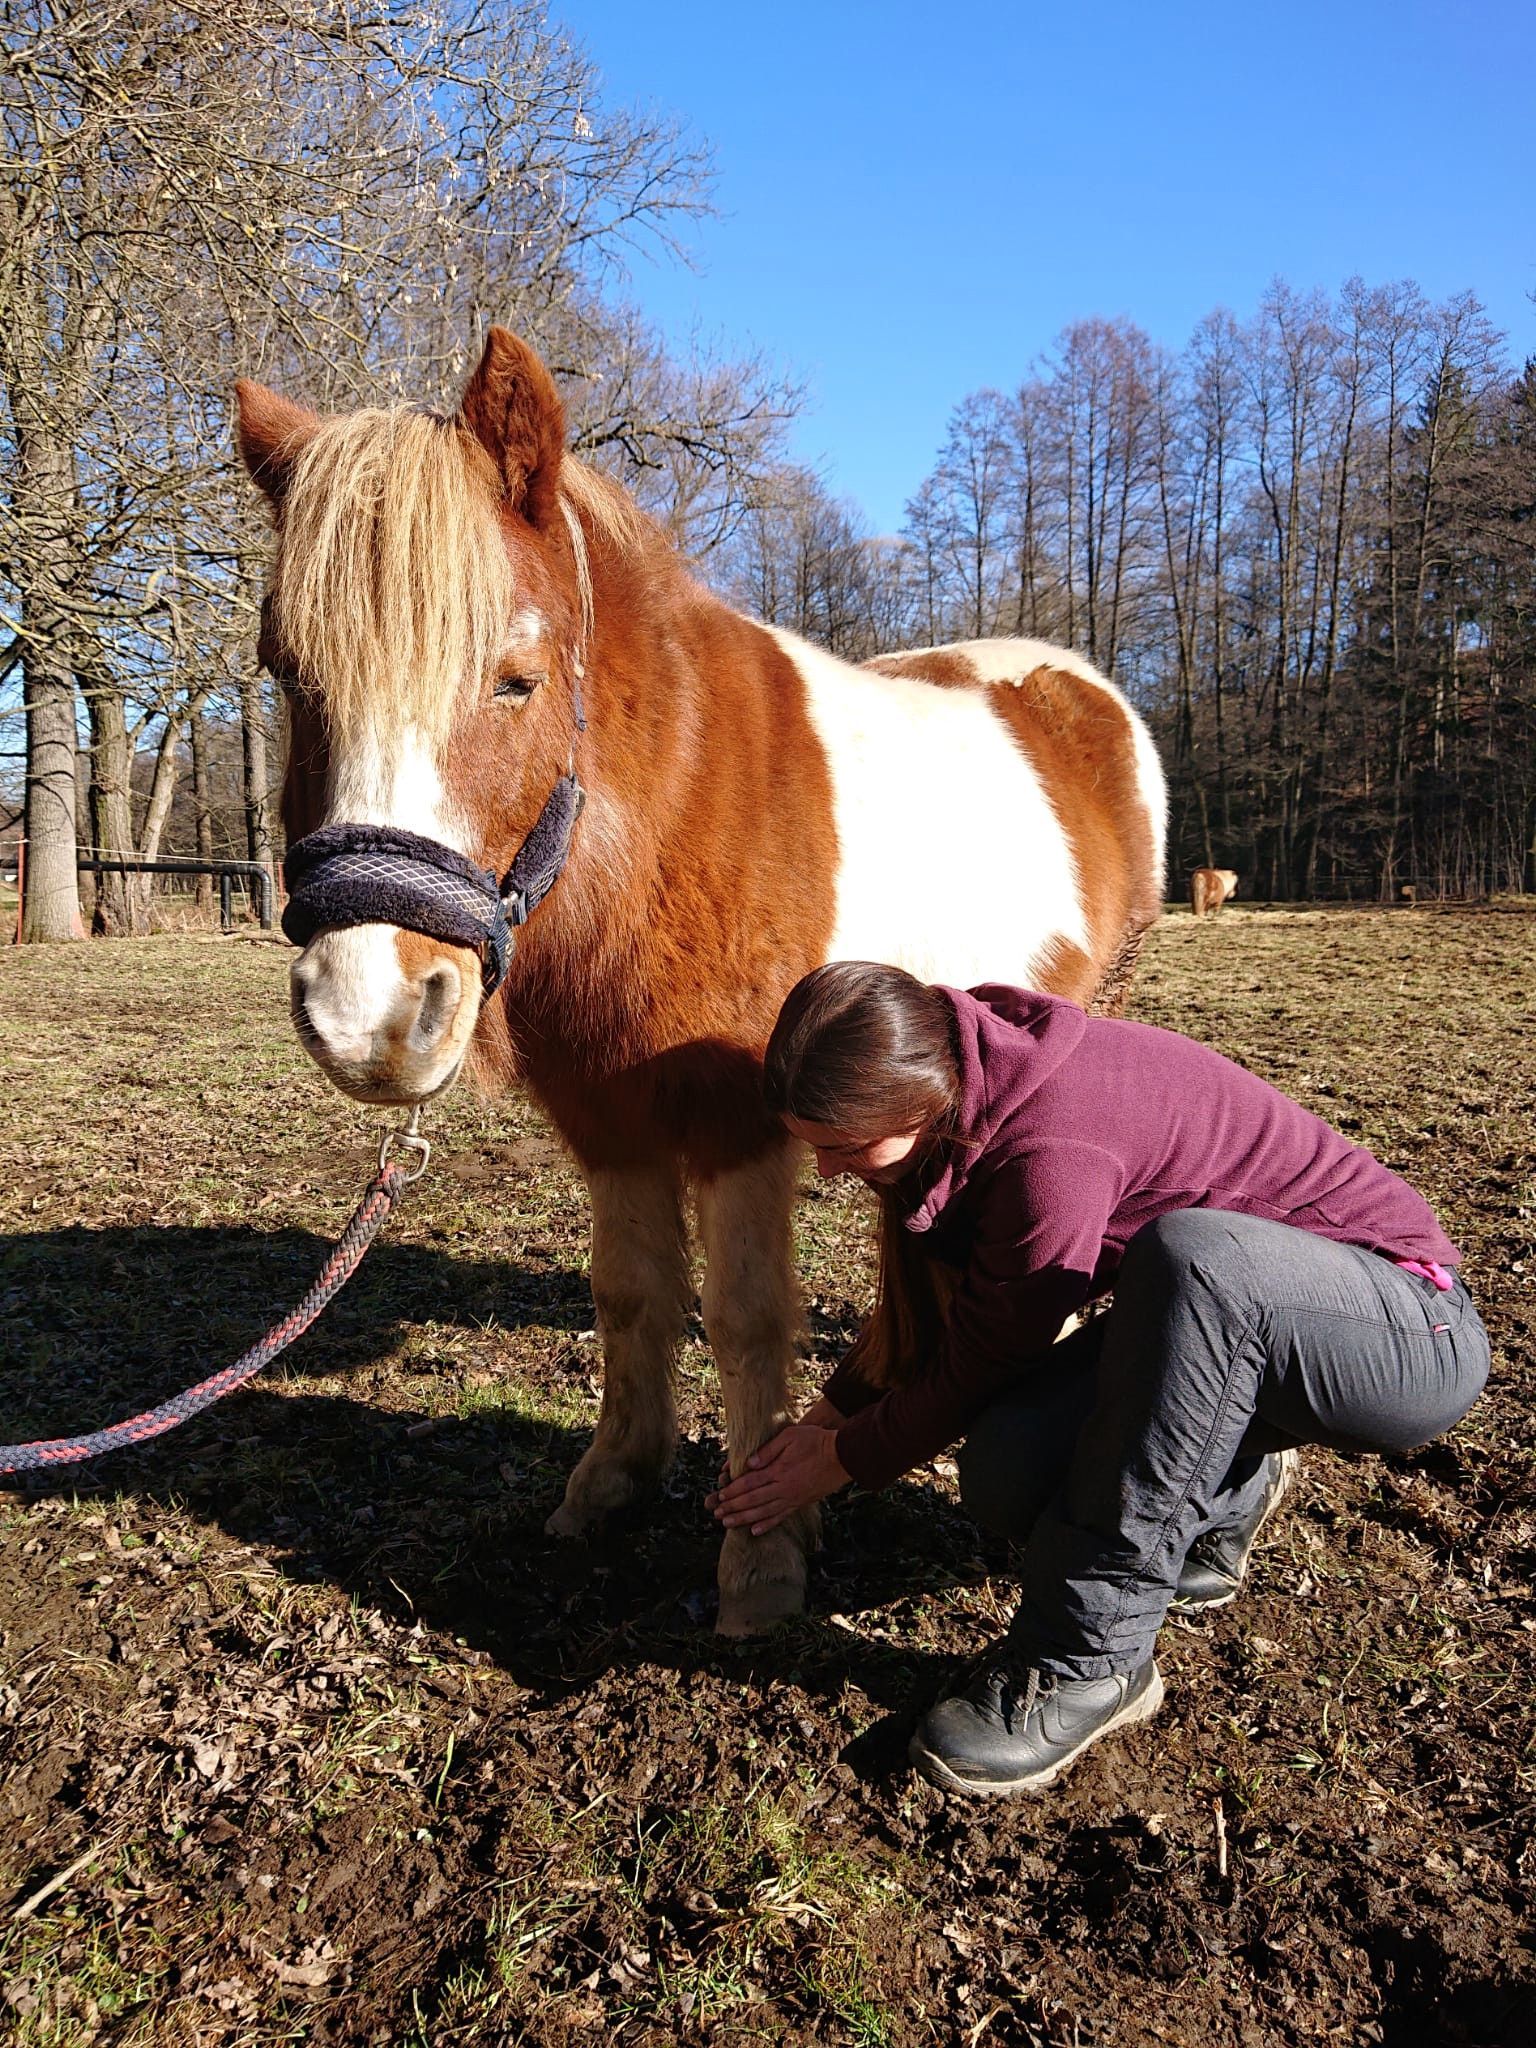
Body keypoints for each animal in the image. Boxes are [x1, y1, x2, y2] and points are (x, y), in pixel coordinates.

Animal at [234, 323, 1163, 1630]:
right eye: (287, 670)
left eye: (515, 677)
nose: (369, 1018)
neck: (663, 808)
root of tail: (1072, 681)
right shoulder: (611, 1118)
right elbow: (630, 1293)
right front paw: (613, 1482)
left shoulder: (740, 1119)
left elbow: (744, 1316)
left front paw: (763, 1558)